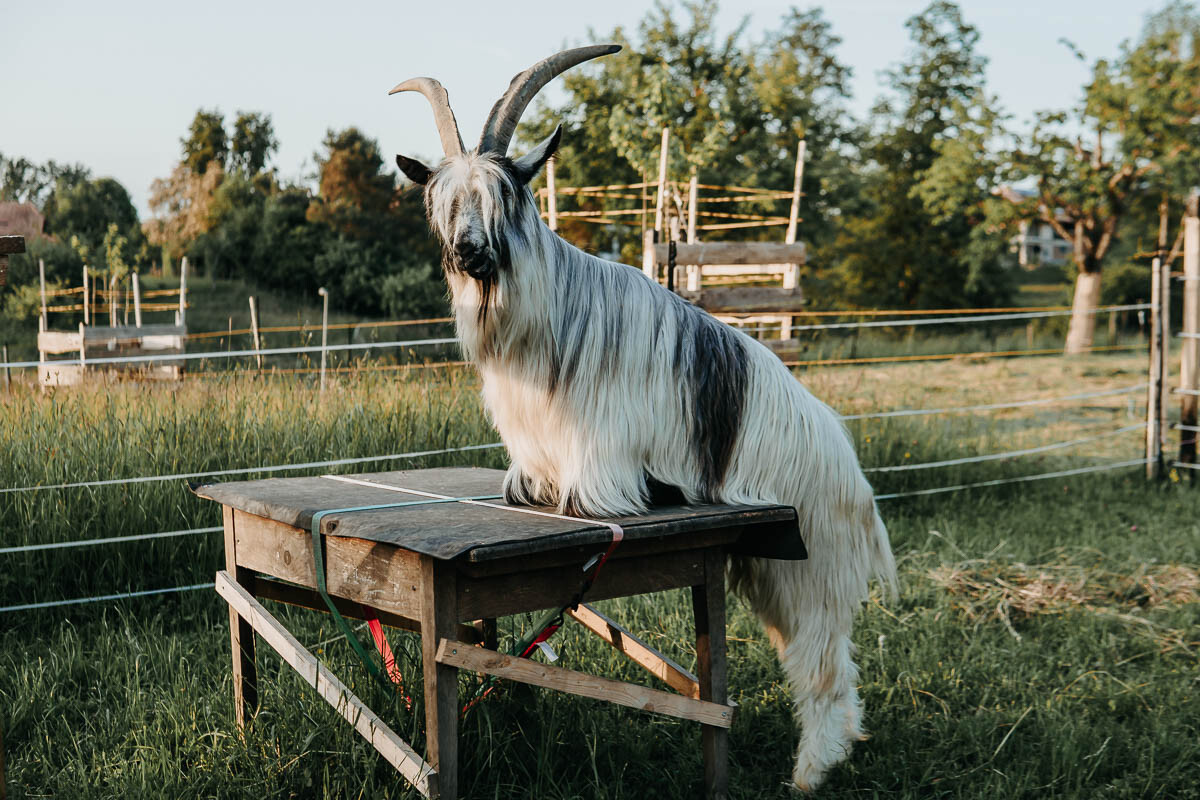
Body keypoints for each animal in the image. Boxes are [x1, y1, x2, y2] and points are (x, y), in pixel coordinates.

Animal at [388, 45, 897, 796]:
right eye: (446, 201)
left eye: (506, 196)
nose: (470, 252)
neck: (547, 315)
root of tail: (854, 477)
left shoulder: (599, 455)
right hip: (773, 567)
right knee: (833, 665)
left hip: (812, 567)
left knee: (823, 664)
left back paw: (809, 772)